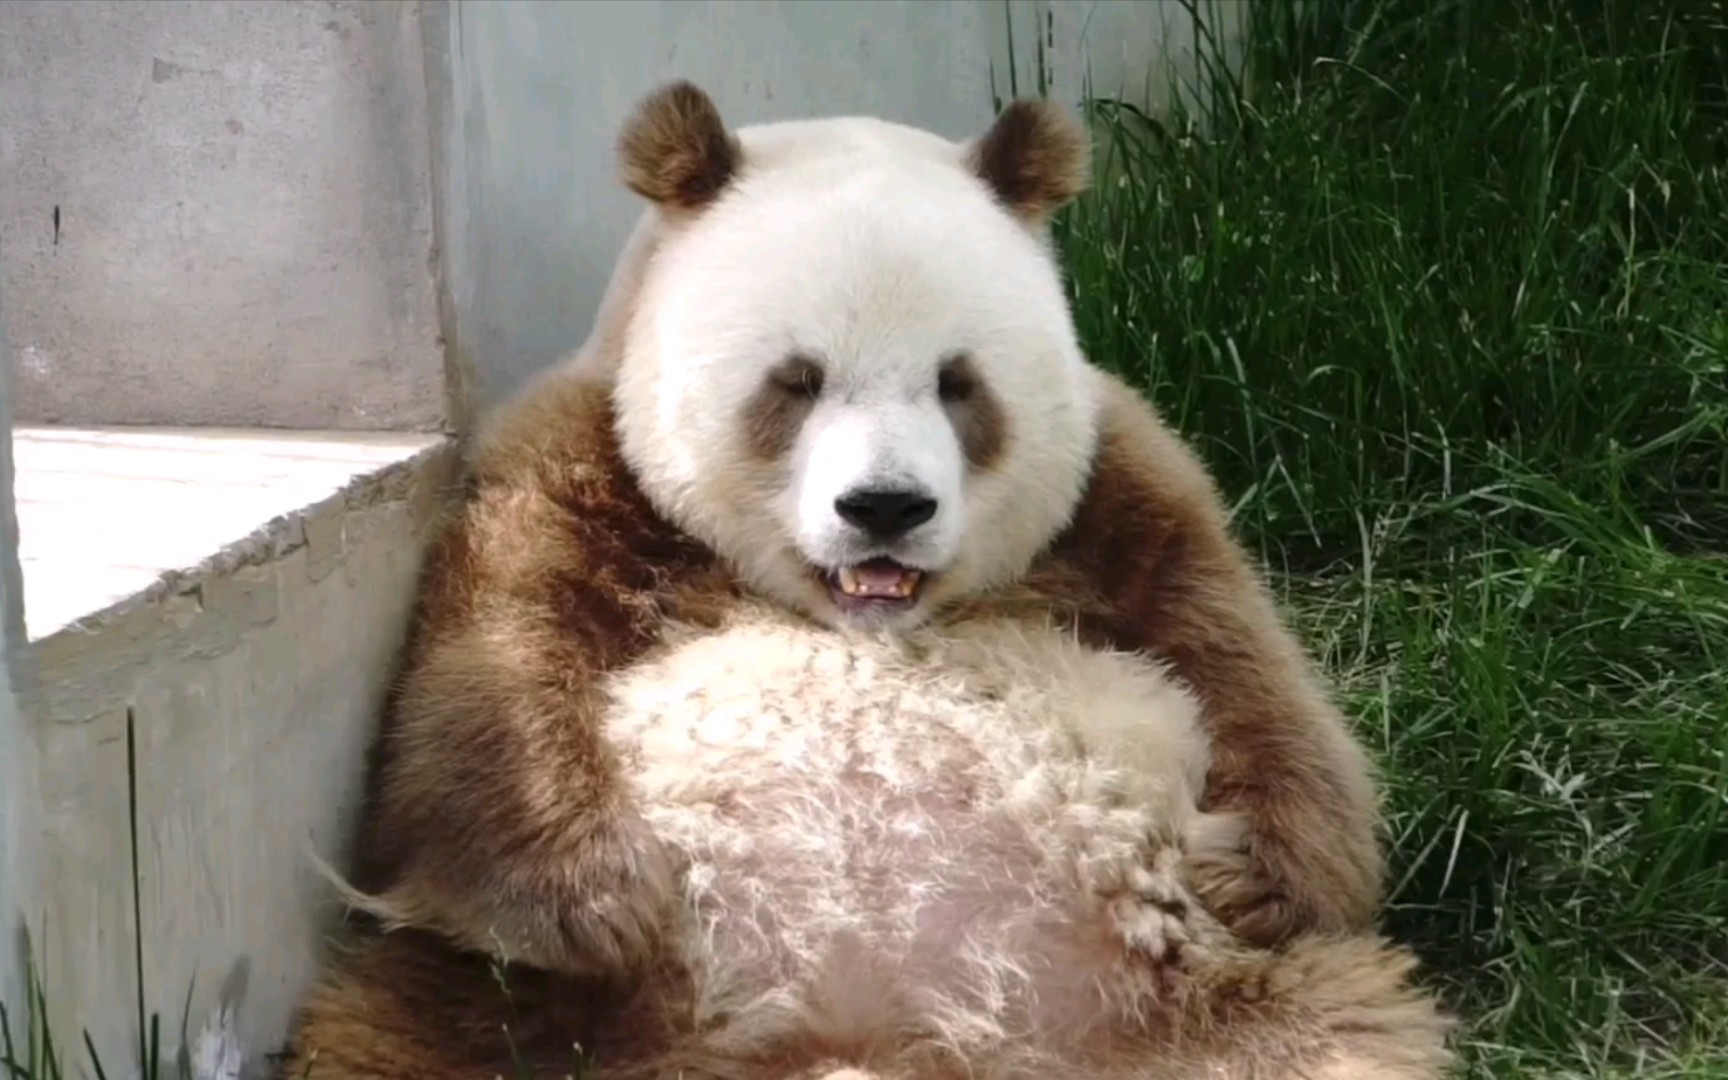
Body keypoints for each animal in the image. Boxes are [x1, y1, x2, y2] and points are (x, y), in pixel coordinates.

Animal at [278, 82, 1452, 1080]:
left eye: (958, 382)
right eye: (796, 381)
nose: (885, 507)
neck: (860, 619)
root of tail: (887, 1044)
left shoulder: (1123, 489)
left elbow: (1241, 660)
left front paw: (1250, 875)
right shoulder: (576, 471)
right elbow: (491, 670)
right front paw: (600, 901)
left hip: (1217, 1017)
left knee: (1327, 1040)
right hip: (512, 1027)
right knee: (403, 1041)